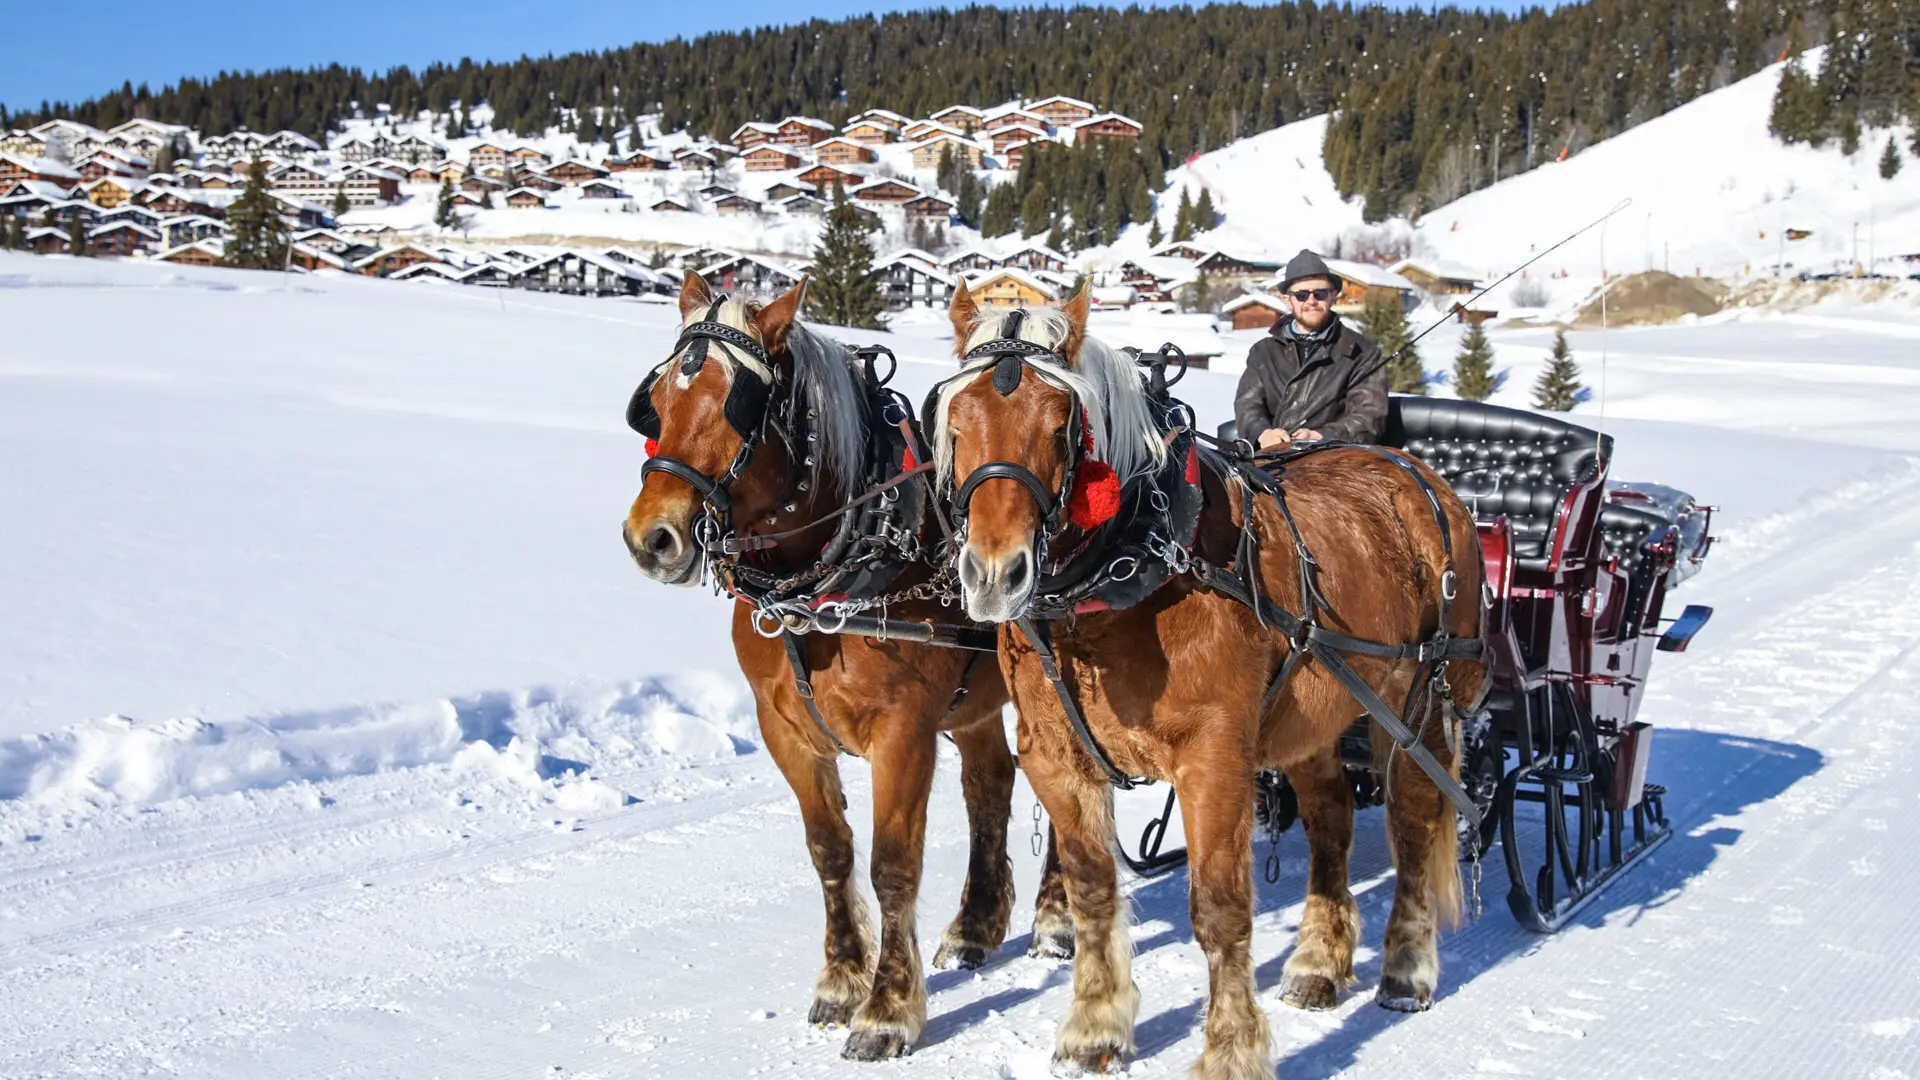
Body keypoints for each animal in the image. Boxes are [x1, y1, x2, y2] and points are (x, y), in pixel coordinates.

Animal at [629, 272, 1075, 1053]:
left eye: (737, 406)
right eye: (657, 402)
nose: (652, 537)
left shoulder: (904, 733)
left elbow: (892, 865)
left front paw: (888, 1008)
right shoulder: (785, 729)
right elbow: (830, 852)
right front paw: (841, 980)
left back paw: (1053, 920)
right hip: (976, 702)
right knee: (991, 785)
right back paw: (974, 927)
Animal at [929, 286, 1482, 1076]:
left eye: (1063, 425)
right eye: (954, 418)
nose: (995, 575)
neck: (1128, 572)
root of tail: (1422, 477)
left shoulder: (1215, 757)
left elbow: (1220, 910)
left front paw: (1231, 1048)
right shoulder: (1055, 759)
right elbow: (1094, 892)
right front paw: (1095, 1027)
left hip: (1419, 707)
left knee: (1412, 823)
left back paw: (1405, 970)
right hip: (1311, 716)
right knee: (1331, 817)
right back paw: (1318, 963)